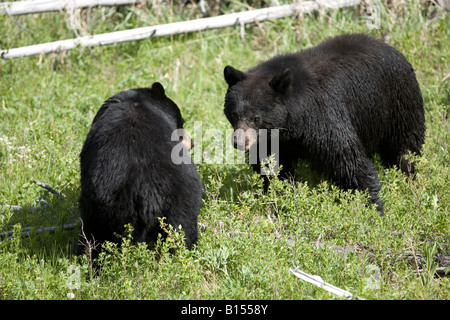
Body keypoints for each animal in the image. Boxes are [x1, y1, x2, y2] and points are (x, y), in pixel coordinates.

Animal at [78, 82, 202, 258]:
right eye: (182, 122)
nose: (192, 143)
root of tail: (147, 187)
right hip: (183, 195)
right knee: (183, 229)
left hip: (107, 204)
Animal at [224, 33, 426, 214]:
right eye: (234, 114)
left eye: (256, 118)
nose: (239, 142)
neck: (293, 122)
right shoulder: (272, 139)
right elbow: (271, 164)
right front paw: (282, 194)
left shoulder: (323, 116)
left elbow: (346, 157)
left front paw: (371, 204)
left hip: (397, 104)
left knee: (405, 146)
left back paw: (408, 174)